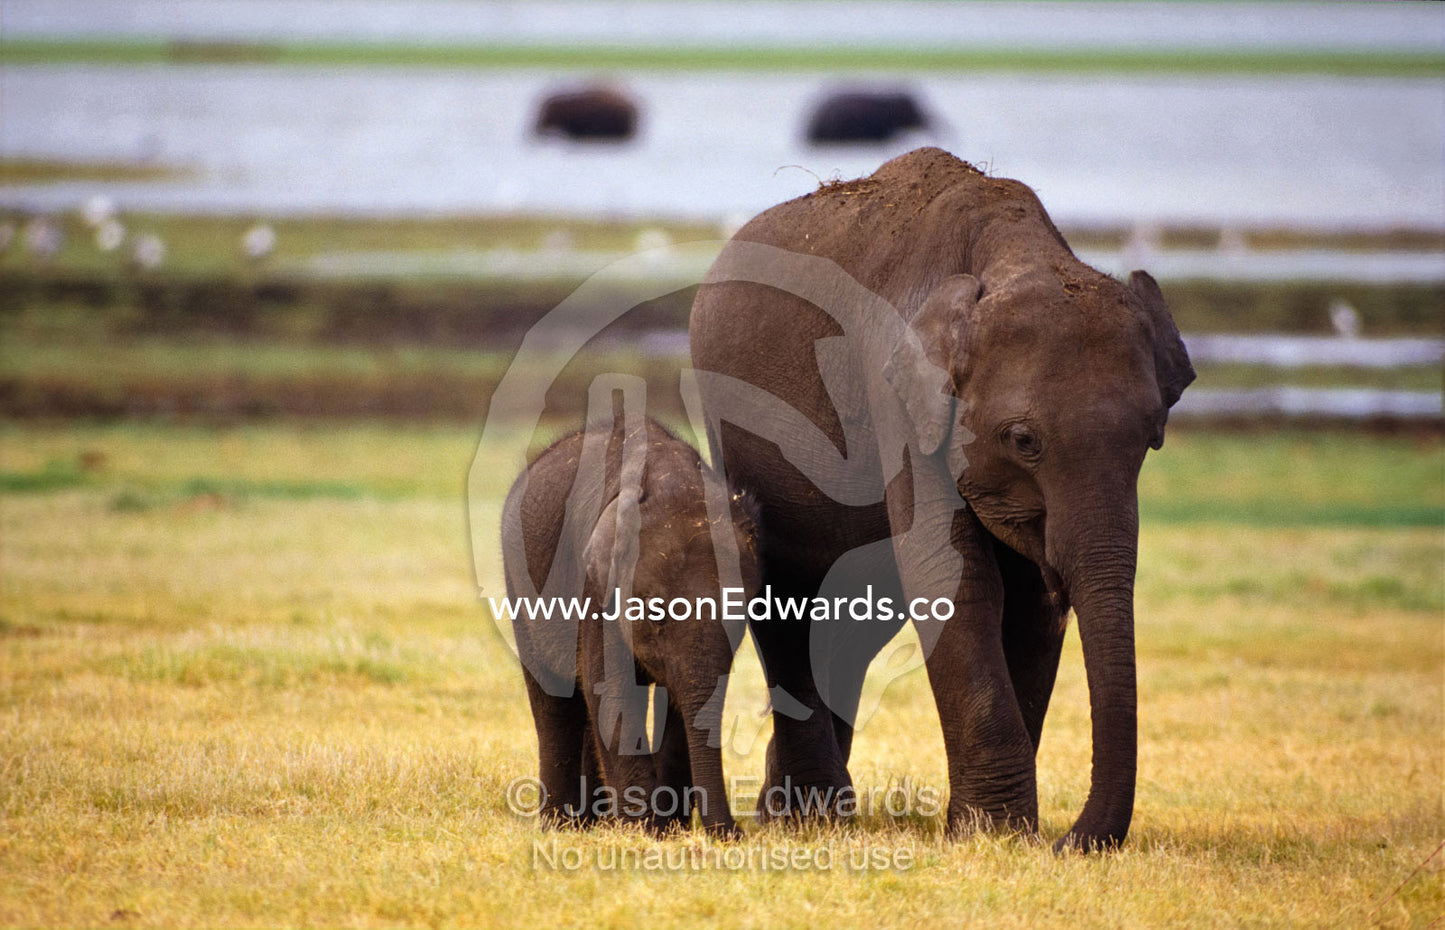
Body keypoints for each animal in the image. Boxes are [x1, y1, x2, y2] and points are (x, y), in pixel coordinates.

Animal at [502, 407, 760, 837]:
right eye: (654, 616)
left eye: (744, 617)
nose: (733, 834)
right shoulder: (595, 588)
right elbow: (610, 691)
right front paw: (647, 831)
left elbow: (677, 703)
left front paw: (667, 830)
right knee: (555, 697)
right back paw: (562, 825)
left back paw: (594, 822)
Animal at [687, 147, 1194, 850]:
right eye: (1023, 440)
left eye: (1152, 438)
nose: (1070, 844)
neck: (1018, 253)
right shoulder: (899, 401)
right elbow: (954, 575)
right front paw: (993, 833)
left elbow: (1030, 603)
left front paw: (1008, 836)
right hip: (732, 424)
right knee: (788, 602)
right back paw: (812, 816)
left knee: (852, 620)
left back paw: (795, 811)